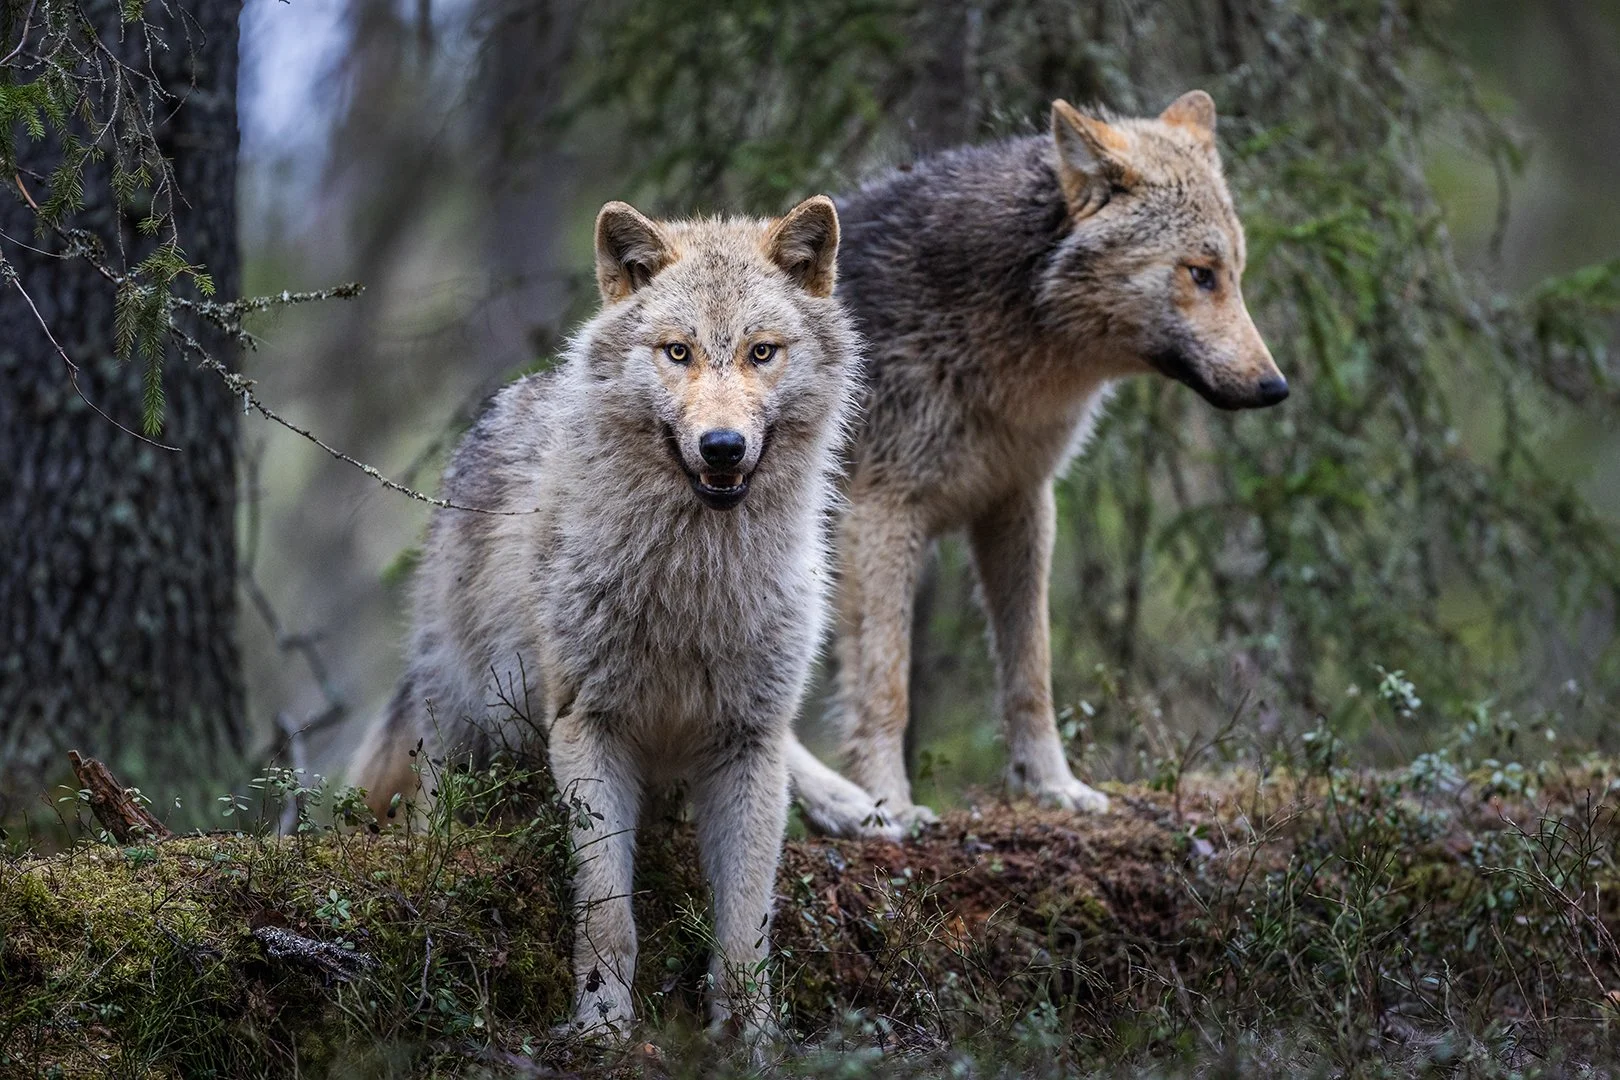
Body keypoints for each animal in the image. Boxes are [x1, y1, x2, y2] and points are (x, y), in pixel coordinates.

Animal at [349, 195, 857, 1037]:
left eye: (761, 352)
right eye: (678, 352)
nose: (723, 447)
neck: (695, 584)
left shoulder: (748, 744)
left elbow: (746, 928)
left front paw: (750, 1038)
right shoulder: (588, 730)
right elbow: (608, 914)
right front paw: (601, 1024)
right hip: (465, 720)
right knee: (432, 807)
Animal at [788, 91, 1287, 837]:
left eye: (1238, 276)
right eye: (1201, 274)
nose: (1274, 387)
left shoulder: (1020, 502)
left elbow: (1033, 674)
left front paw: (1053, 787)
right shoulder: (880, 515)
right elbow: (887, 689)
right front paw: (892, 801)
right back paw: (846, 805)